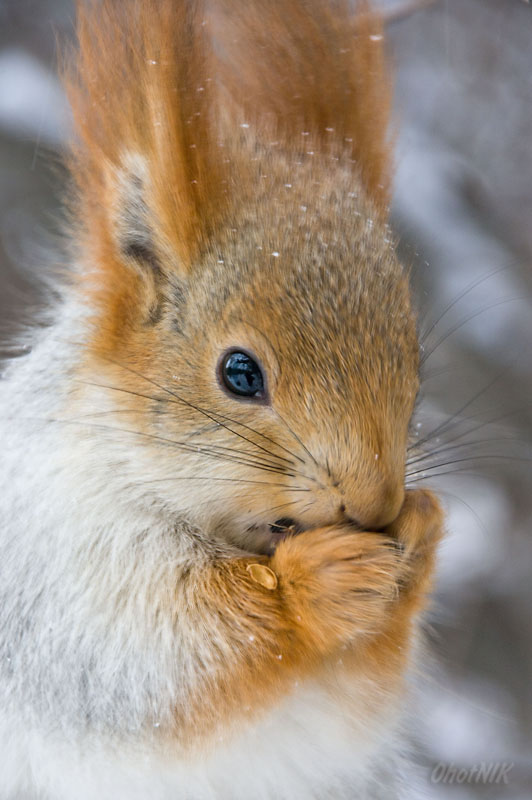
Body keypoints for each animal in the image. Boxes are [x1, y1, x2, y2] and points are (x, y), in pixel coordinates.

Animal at [0, 1, 442, 800]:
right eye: (240, 374)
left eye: (413, 358)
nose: (375, 505)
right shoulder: (55, 578)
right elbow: (165, 663)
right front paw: (314, 586)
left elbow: (356, 693)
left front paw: (421, 534)